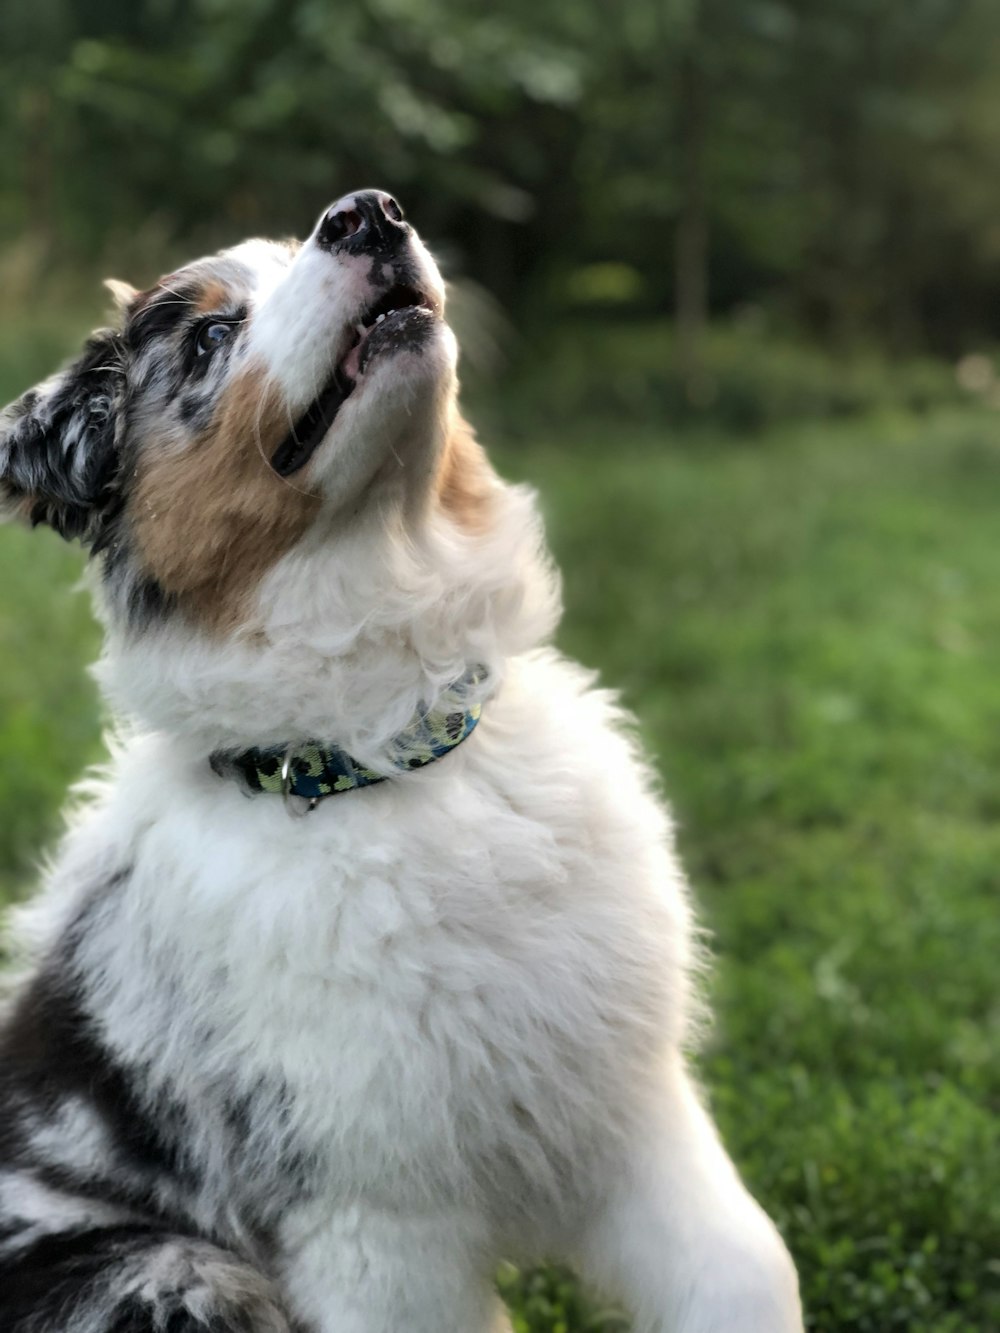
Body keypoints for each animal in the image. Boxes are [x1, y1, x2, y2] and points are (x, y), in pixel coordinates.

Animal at [0, 190, 805, 1333]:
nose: (367, 213)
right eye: (209, 336)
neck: (388, 754)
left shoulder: (632, 1110)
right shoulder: (377, 1220)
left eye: (307, 245)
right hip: (183, 1276)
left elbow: (746, 1267)